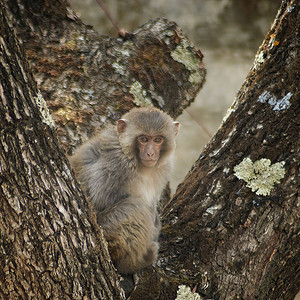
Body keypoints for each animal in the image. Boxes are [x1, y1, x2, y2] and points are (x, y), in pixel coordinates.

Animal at [70, 108, 178, 274]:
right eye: (144, 139)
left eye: (157, 140)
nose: (150, 153)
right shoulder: (117, 164)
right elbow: (95, 202)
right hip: (106, 234)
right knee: (136, 208)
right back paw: (132, 264)